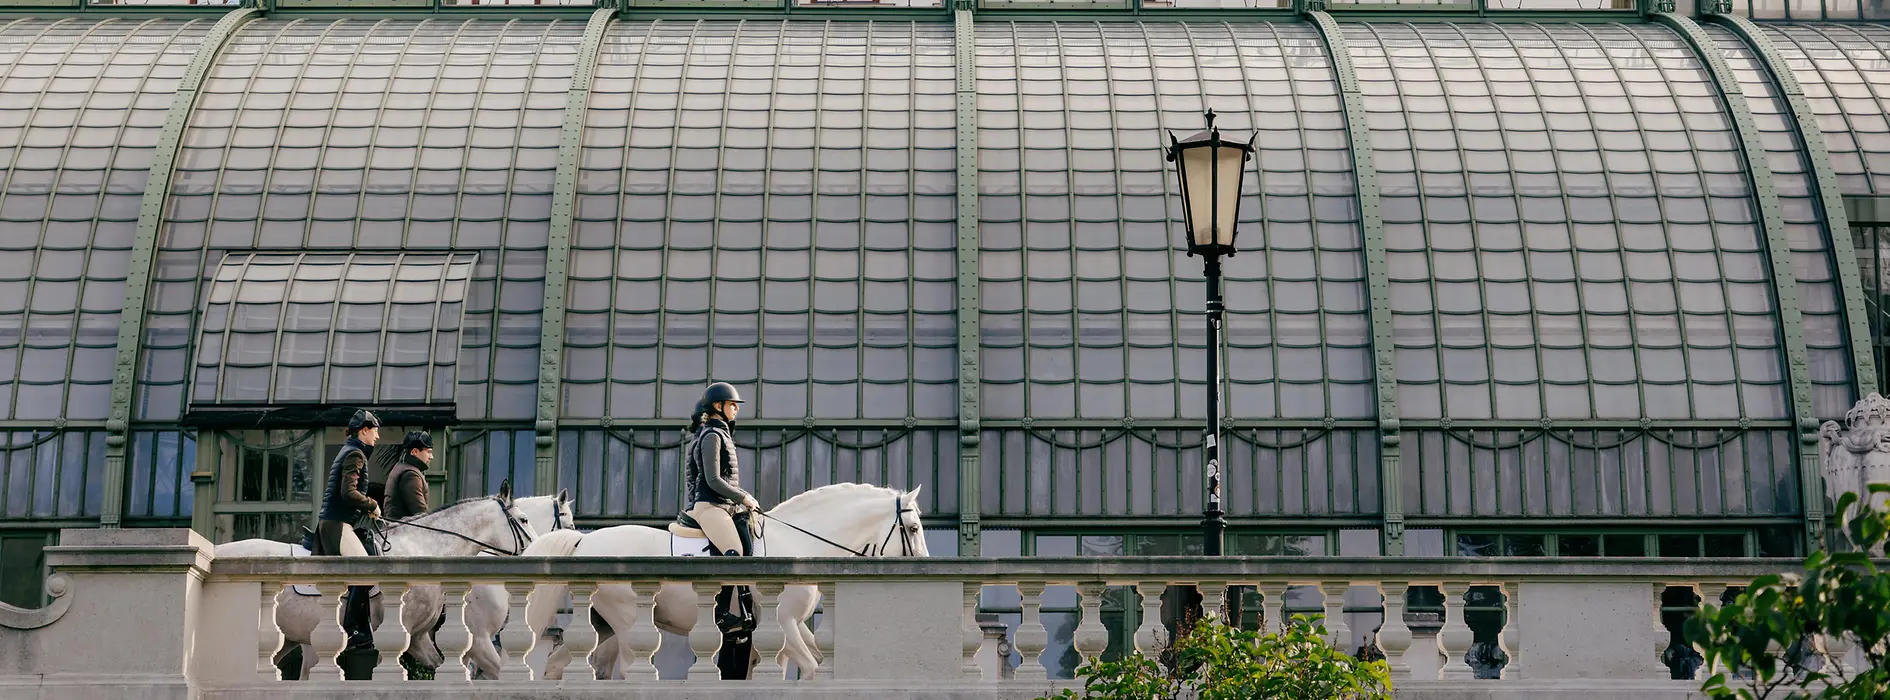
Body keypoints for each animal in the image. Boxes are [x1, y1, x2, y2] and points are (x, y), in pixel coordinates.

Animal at [510, 484, 929, 681]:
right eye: (912, 528)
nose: (925, 566)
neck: (798, 542)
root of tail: (585, 540)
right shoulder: (785, 623)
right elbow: (809, 668)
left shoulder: (788, 627)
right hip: (628, 621)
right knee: (626, 668)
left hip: (604, 626)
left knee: (565, 664)